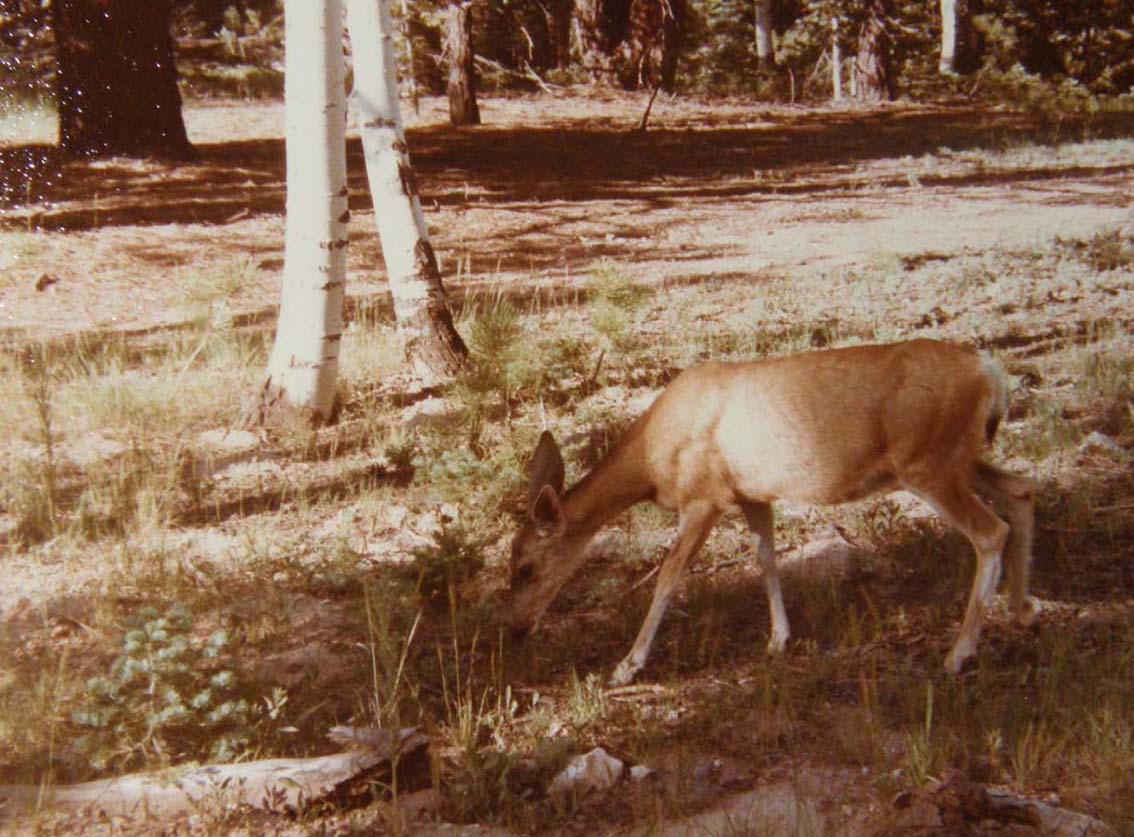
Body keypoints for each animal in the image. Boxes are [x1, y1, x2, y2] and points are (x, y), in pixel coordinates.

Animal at [505, 337, 1038, 685]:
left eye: (525, 567)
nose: (514, 628)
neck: (652, 464)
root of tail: (991, 373)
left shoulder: (704, 495)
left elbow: (668, 577)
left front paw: (626, 666)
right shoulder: (752, 494)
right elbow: (767, 560)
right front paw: (779, 640)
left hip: (929, 461)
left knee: (990, 531)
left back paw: (959, 653)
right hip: (958, 457)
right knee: (1021, 491)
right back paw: (1020, 609)